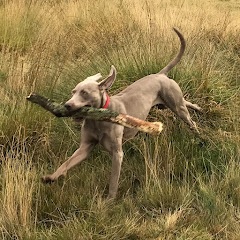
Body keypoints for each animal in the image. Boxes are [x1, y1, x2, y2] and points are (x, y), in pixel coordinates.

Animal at [42, 28, 202, 198]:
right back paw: (198, 108)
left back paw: (199, 135)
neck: (98, 119)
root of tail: (160, 74)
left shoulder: (117, 153)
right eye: (73, 92)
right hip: (168, 104)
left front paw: (109, 200)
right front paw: (51, 177)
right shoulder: (84, 148)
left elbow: (113, 180)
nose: (67, 105)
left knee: (189, 119)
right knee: (186, 102)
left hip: (176, 106)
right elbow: (66, 163)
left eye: (84, 93)